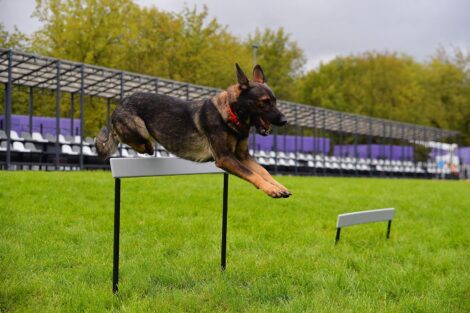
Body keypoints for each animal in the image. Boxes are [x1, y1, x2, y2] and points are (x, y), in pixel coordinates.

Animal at [95, 63, 290, 197]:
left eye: (274, 101)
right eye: (264, 102)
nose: (284, 121)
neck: (231, 113)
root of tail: (118, 106)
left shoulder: (243, 157)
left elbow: (263, 171)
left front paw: (278, 186)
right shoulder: (226, 158)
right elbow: (252, 174)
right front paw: (271, 190)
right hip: (139, 127)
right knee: (134, 140)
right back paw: (148, 146)